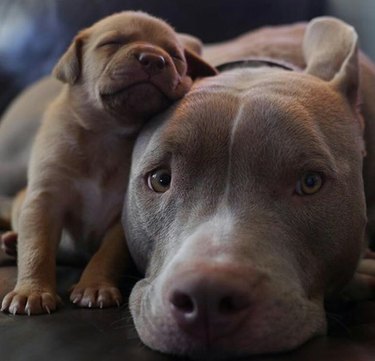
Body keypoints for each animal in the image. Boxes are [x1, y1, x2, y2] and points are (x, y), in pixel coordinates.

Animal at [0, 10, 216, 316]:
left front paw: (95, 286)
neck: (107, 136)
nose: (154, 58)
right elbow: (37, 248)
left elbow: (107, 255)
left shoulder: (121, 219)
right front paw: (32, 291)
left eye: (175, 55)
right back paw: (10, 243)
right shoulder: (44, 201)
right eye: (112, 43)